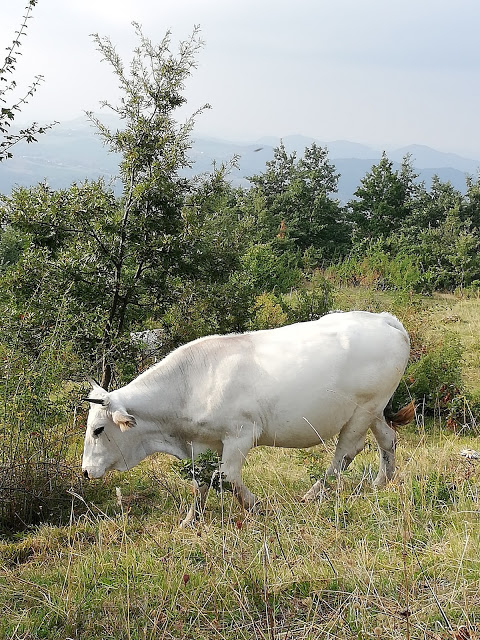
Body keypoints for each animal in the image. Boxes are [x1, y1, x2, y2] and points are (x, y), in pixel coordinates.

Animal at [81, 310, 412, 524]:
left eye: (98, 429)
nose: (84, 471)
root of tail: (385, 319)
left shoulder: (240, 434)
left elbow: (227, 476)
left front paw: (256, 507)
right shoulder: (202, 442)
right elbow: (200, 480)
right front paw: (191, 519)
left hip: (363, 409)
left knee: (345, 453)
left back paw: (313, 494)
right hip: (375, 410)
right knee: (387, 439)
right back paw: (381, 482)